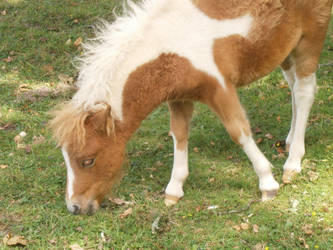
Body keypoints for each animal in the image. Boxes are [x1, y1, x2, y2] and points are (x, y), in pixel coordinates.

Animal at [49, 0, 332, 215]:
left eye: (88, 160)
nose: (75, 207)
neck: (172, 45)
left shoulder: (220, 86)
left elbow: (239, 131)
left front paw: (267, 183)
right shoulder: (179, 97)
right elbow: (179, 134)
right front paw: (174, 190)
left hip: (310, 36)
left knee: (304, 91)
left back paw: (293, 163)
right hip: (284, 47)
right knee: (293, 86)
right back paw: (290, 141)